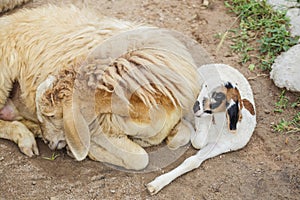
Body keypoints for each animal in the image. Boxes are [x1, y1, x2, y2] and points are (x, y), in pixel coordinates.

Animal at [0, 4, 202, 170]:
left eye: (51, 116)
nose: (49, 142)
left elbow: (183, 135)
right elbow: (139, 158)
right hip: (3, 76)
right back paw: (26, 138)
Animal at [146, 64, 256, 195]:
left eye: (218, 95)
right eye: (205, 85)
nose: (195, 107)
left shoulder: (221, 146)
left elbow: (193, 160)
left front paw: (156, 184)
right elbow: (197, 141)